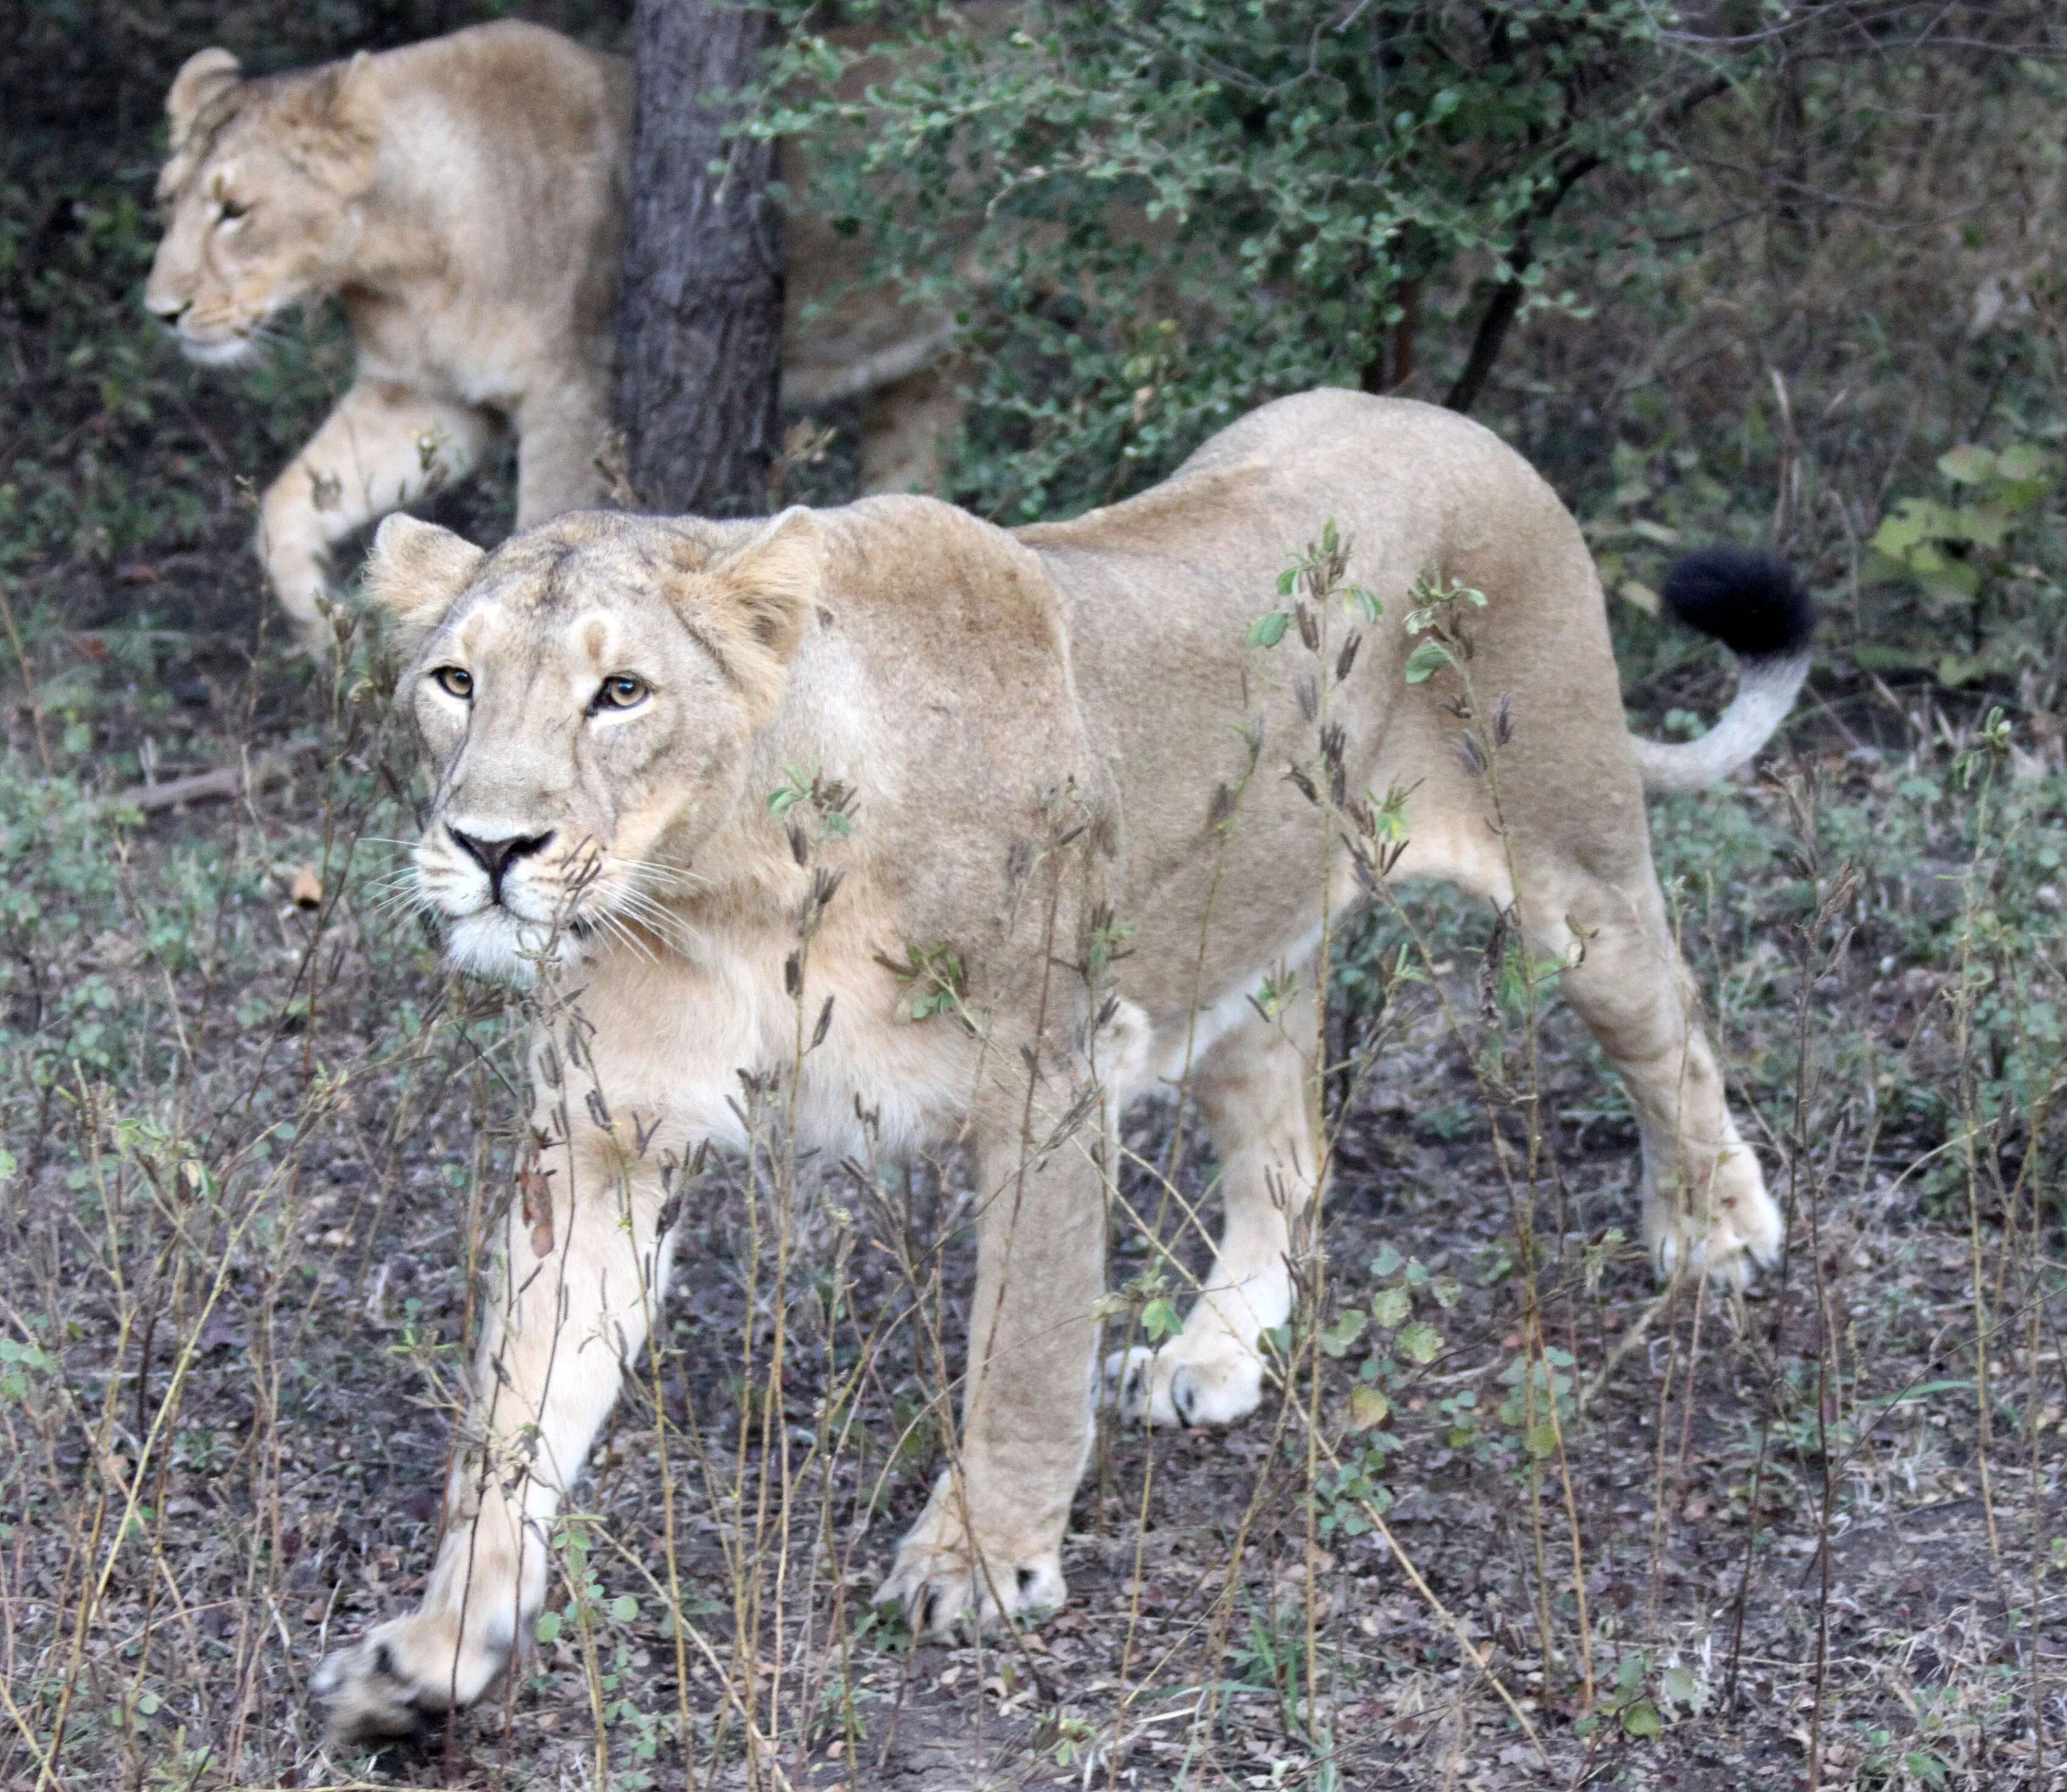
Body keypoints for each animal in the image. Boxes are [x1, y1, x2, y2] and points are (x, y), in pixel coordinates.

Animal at [144, 20, 958, 647]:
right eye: (167, 203)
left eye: (235, 210)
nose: (160, 312)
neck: (403, 259)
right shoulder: (427, 400)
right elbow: (283, 508)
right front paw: (328, 630)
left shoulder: (569, 397)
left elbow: (545, 536)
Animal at [310, 389, 1809, 1742]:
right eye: (455, 681)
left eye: (621, 692)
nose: (490, 846)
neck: (723, 892)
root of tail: (1452, 420)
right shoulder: (600, 1138)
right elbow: (514, 1413)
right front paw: (438, 1645)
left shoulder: (1050, 1081)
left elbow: (1021, 1348)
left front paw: (979, 1558)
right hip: (1232, 944)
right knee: (1290, 1154)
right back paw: (1214, 1355)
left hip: (1570, 853)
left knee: (1668, 1021)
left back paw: (1717, 1229)